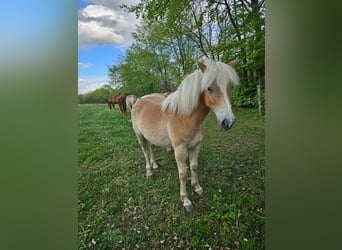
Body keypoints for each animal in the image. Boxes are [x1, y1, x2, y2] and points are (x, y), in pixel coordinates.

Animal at [131, 59, 240, 211]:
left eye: (231, 87)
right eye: (209, 88)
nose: (228, 122)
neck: (184, 117)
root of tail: (139, 100)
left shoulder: (195, 146)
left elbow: (194, 167)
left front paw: (197, 188)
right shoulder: (179, 149)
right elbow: (182, 174)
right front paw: (186, 200)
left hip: (151, 136)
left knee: (152, 148)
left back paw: (155, 165)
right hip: (140, 136)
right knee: (145, 152)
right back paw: (149, 172)